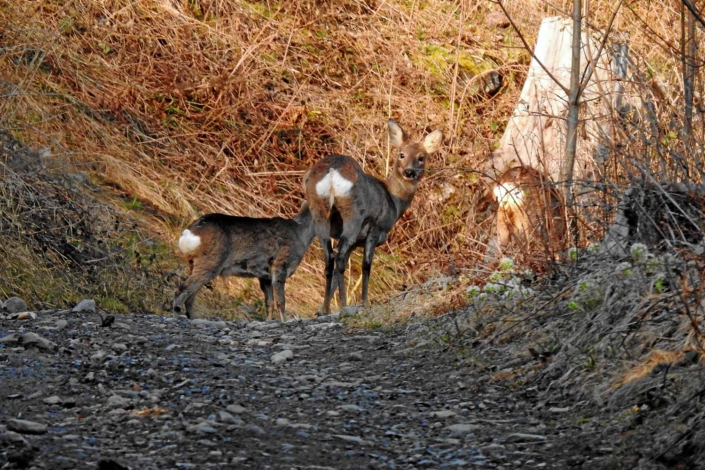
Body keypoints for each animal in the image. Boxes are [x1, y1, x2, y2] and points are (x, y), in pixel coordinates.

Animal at [172, 204, 312, 322]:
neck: (300, 234)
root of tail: (188, 234)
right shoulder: (280, 268)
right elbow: (281, 302)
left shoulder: (265, 277)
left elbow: (269, 303)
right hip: (209, 264)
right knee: (180, 291)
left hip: (195, 264)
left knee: (190, 297)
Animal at [302, 119, 440, 314]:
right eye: (402, 154)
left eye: (421, 157)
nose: (409, 172)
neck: (394, 201)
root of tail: (332, 172)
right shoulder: (375, 230)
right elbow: (366, 266)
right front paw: (365, 302)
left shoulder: (357, 242)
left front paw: (325, 308)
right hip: (353, 214)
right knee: (340, 258)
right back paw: (345, 305)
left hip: (318, 211)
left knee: (330, 259)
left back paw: (326, 308)